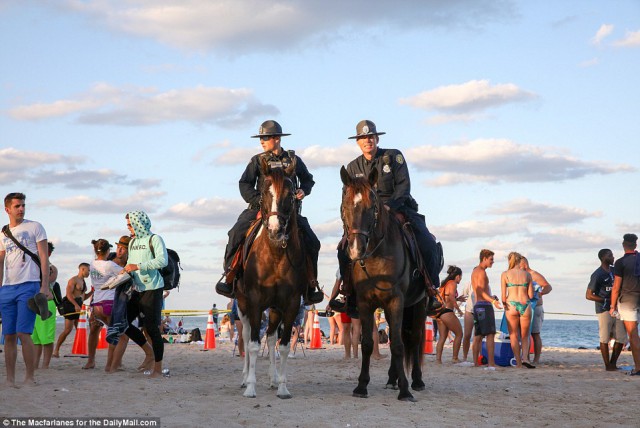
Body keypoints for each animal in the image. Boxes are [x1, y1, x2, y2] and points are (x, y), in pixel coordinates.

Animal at [235, 156, 308, 398]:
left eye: (290, 194)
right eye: (265, 193)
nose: (276, 230)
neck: (275, 254)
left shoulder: (291, 304)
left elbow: (282, 346)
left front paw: (283, 386)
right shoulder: (255, 301)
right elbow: (253, 345)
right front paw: (250, 386)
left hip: (275, 309)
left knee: (271, 337)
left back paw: (273, 378)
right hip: (242, 305)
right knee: (247, 336)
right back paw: (245, 377)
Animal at [340, 166, 424, 402]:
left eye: (372, 207)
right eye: (345, 206)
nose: (356, 249)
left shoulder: (395, 301)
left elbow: (397, 345)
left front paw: (405, 390)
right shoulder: (365, 303)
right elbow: (368, 344)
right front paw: (361, 386)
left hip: (419, 304)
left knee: (414, 339)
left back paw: (416, 381)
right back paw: (391, 379)